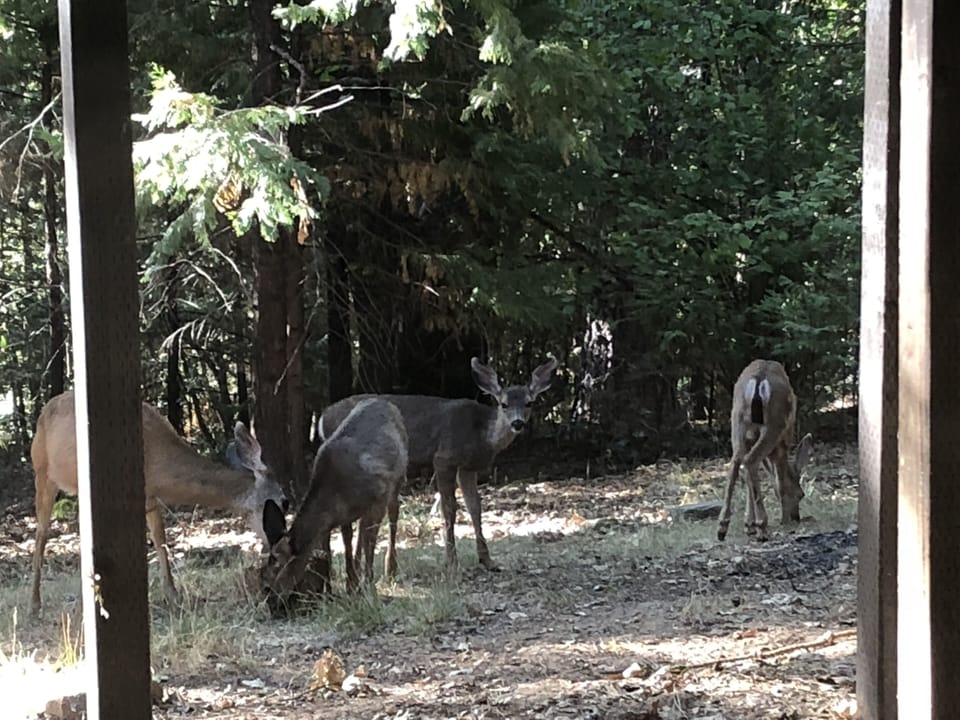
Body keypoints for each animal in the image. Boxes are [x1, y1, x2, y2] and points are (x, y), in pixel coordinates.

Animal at [30, 390, 289, 617]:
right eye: (285, 502)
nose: (281, 543)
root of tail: (43, 411)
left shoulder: (151, 498)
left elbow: (160, 541)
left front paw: (174, 597)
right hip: (42, 472)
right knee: (42, 532)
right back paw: (35, 604)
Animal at [259, 397, 408, 614]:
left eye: (267, 585)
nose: (271, 606)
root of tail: (385, 402)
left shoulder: (378, 495)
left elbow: (370, 541)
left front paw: (369, 586)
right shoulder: (338, 517)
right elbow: (338, 546)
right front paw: (342, 588)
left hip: (398, 477)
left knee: (393, 517)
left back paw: (390, 570)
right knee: (360, 530)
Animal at [318, 356, 559, 574]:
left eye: (529, 403)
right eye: (504, 404)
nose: (517, 423)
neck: (481, 434)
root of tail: (322, 417)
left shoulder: (468, 467)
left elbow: (475, 506)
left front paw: (488, 561)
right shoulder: (445, 457)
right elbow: (448, 508)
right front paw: (452, 563)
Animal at [717, 359, 814, 542]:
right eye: (801, 494)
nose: (796, 517)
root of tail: (758, 379)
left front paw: (748, 525)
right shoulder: (782, 443)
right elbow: (780, 479)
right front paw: (782, 519)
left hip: (737, 421)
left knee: (736, 463)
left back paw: (722, 527)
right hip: (774, 423)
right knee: (750, 460)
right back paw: (762, 527)